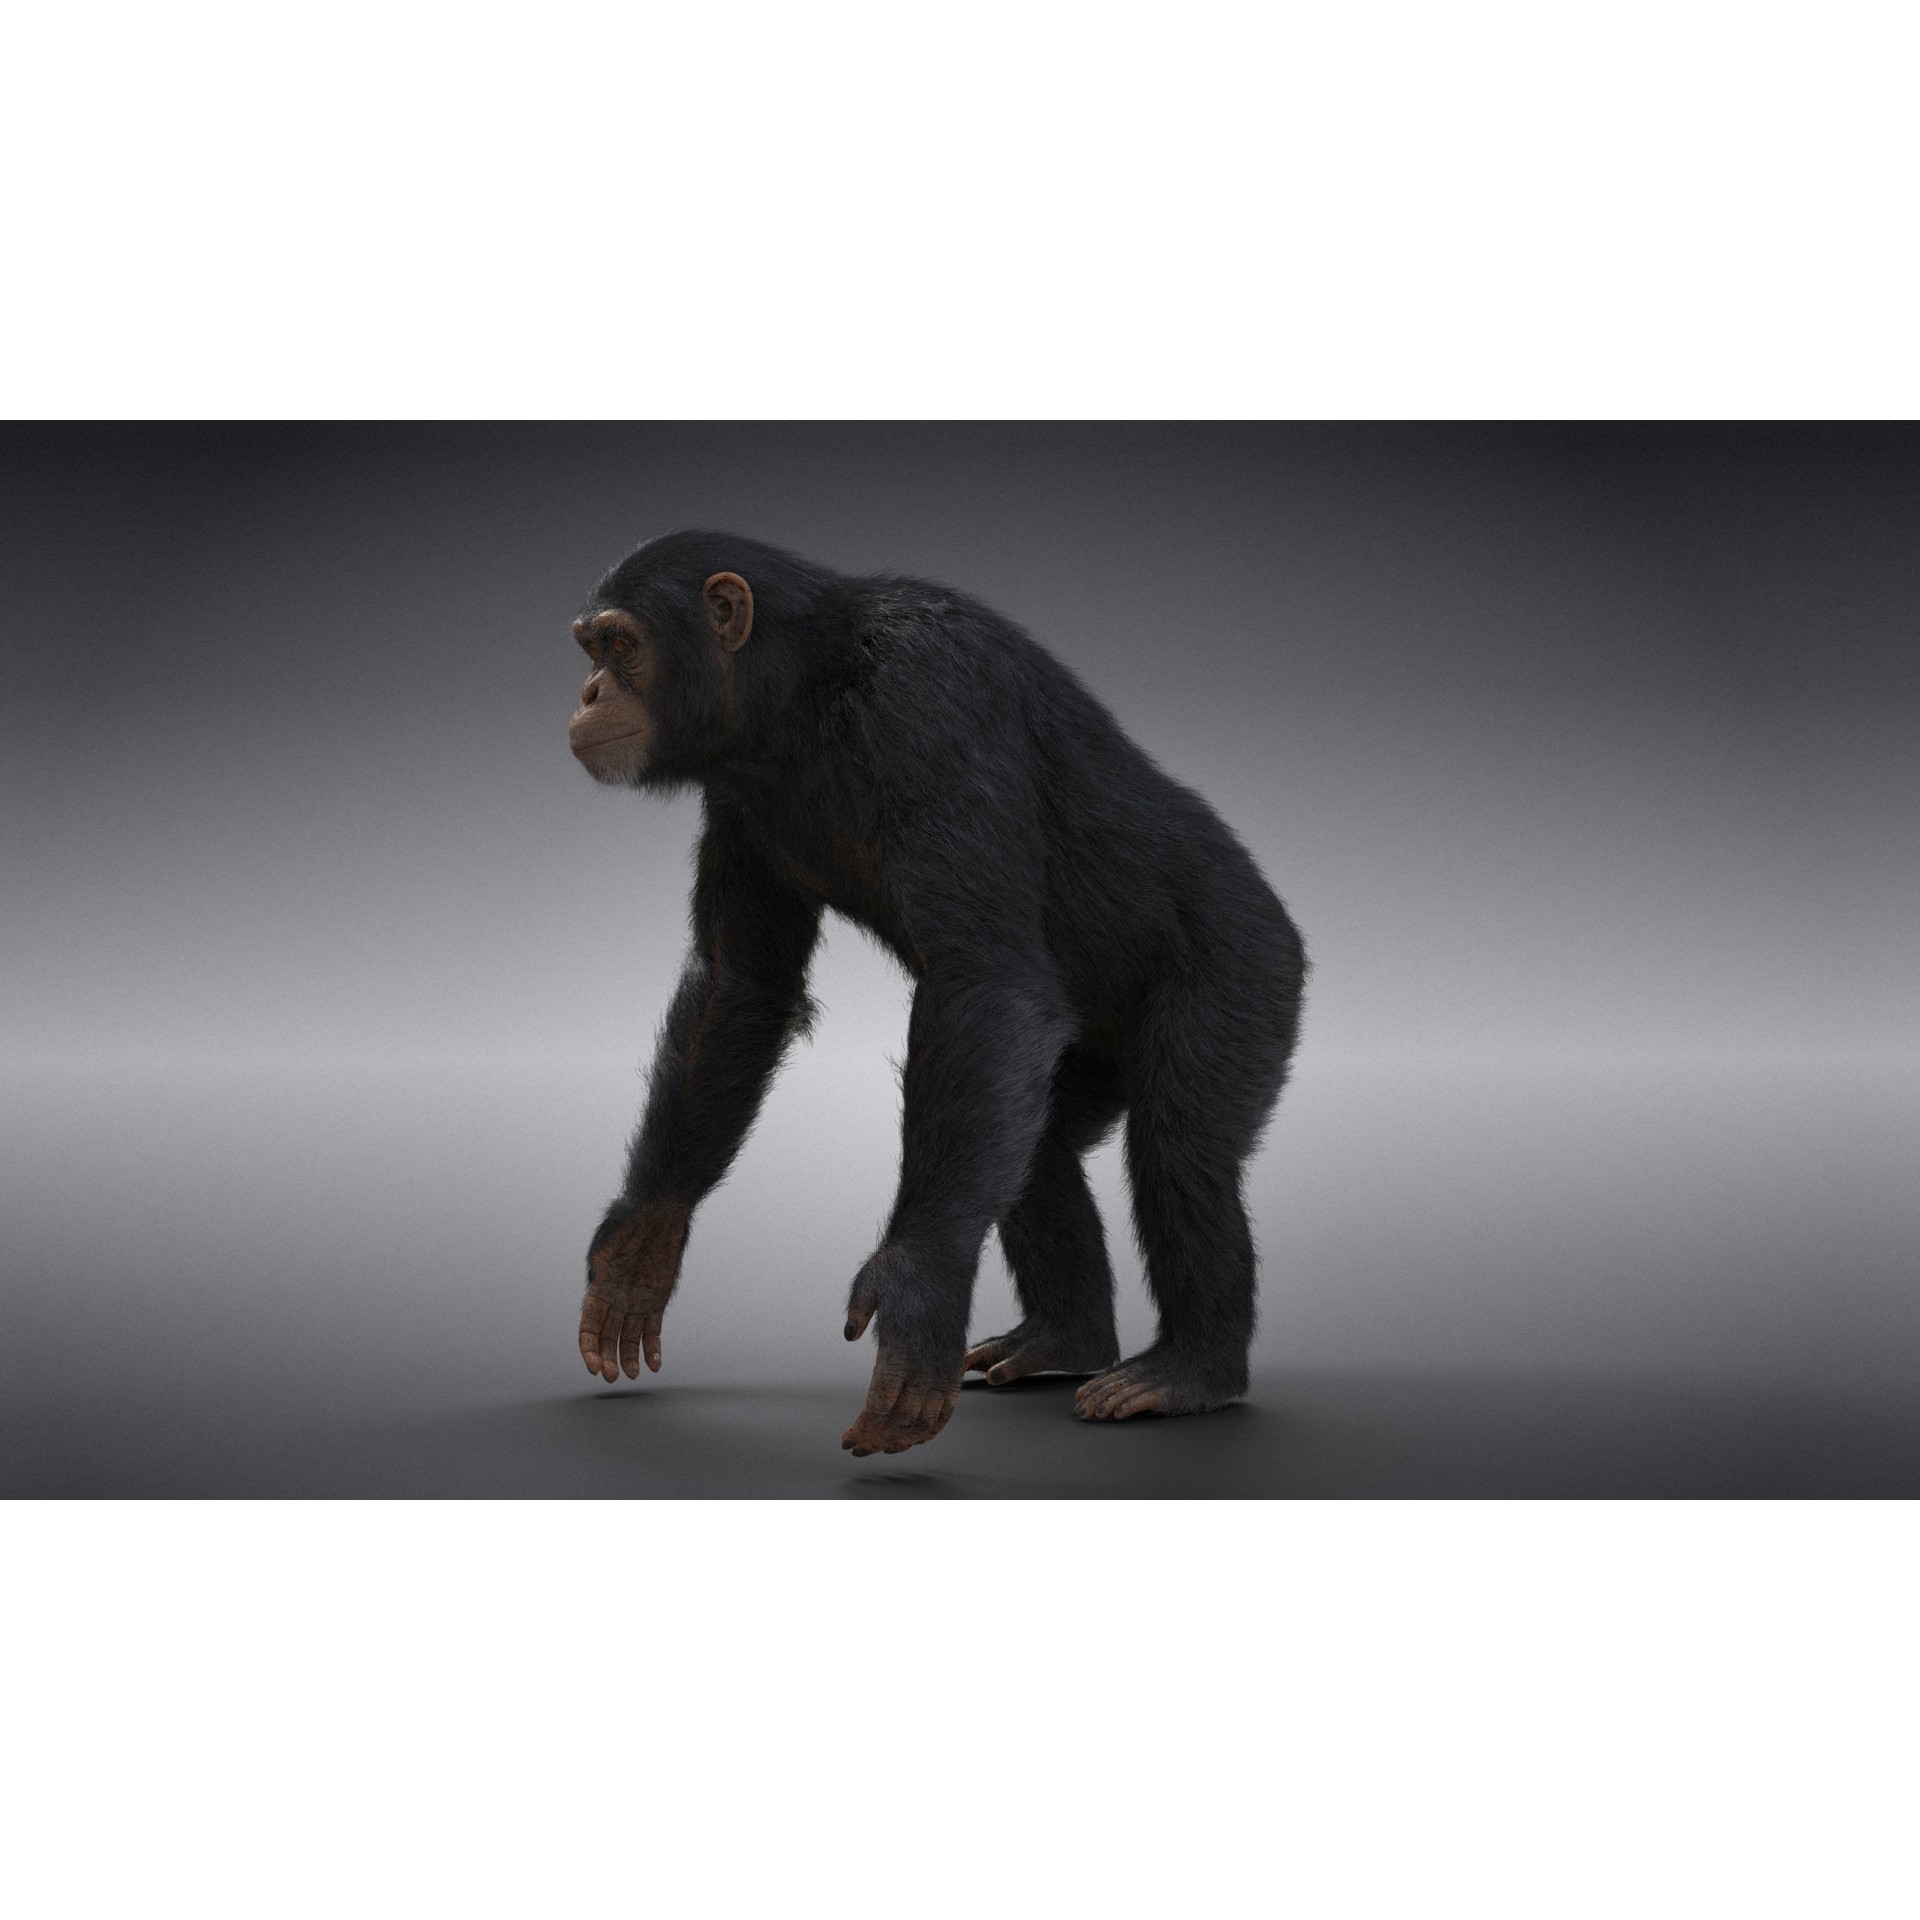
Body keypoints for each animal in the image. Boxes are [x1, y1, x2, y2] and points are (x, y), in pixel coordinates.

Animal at [567, 532, 1305, 1457]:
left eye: (620, 645)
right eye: (591, 650)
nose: (589, 692)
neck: (797, 695)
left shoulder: (930, 698)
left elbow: (980, 972)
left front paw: (913, 1295)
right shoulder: (736, 796)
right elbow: (740, 985)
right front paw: (641, 1242)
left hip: (1247, 973)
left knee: (1180, 1149)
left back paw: (1188, 1370)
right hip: (1088, 1058)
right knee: (1034, 1144)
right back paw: (1062, 1339)